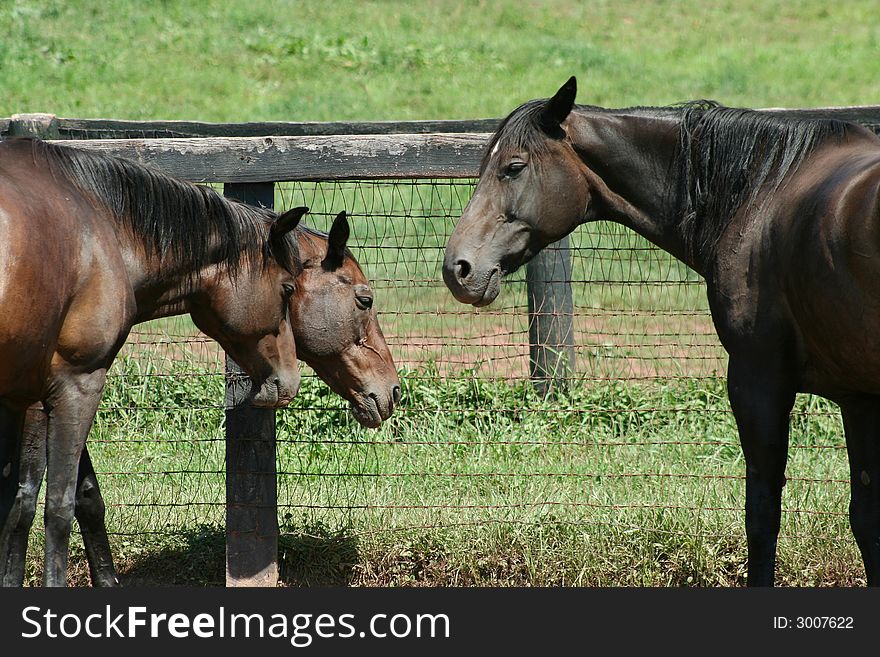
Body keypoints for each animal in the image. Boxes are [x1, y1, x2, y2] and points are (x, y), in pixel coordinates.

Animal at [0, 137, 306, 584]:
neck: (102, 226)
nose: (289, 381)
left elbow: (22, 505)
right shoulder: (77, 383)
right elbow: (57, 506)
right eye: (287, 289)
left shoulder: (26, 396)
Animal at [446, 75, 880, 584]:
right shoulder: (858, 397)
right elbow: (865, 520)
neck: (764, 192)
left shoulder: (759, 381)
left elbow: (762, 518)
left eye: (513, 168)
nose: (457, 268)